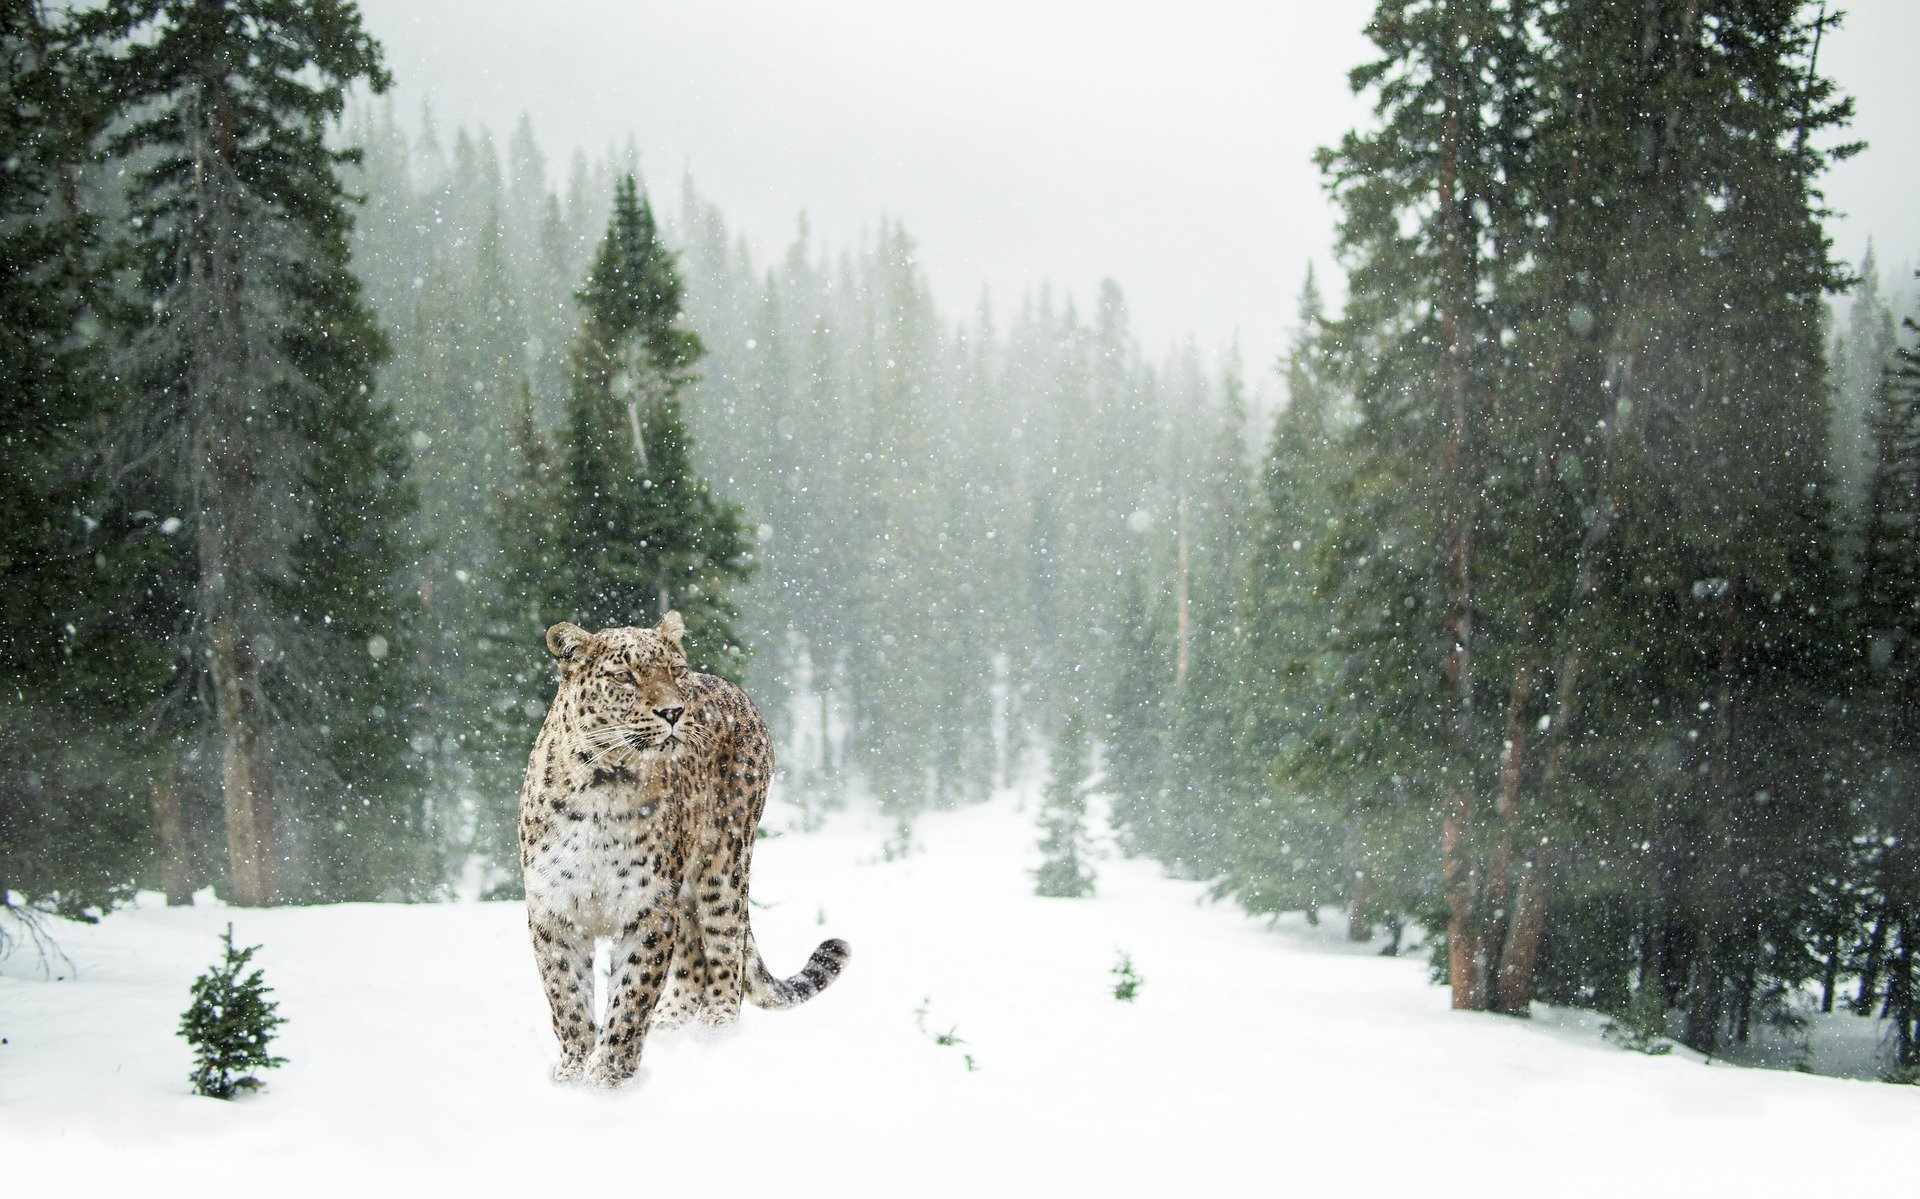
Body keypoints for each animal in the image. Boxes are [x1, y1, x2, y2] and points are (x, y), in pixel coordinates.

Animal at [518, 611, 849, 1088]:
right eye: (625, 676)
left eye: (674, 671)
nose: (674, 711)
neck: (604, 784)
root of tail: (735, 689)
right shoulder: (554, 910)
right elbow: (567, 997)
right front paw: (573, 1071)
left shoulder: (649, 908)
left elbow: (631, 996)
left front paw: (609, 1077)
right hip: (688, 891)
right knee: (693, 957)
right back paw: (672, 1026)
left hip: (723, 867)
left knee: (725, 952)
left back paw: (715, 1035)